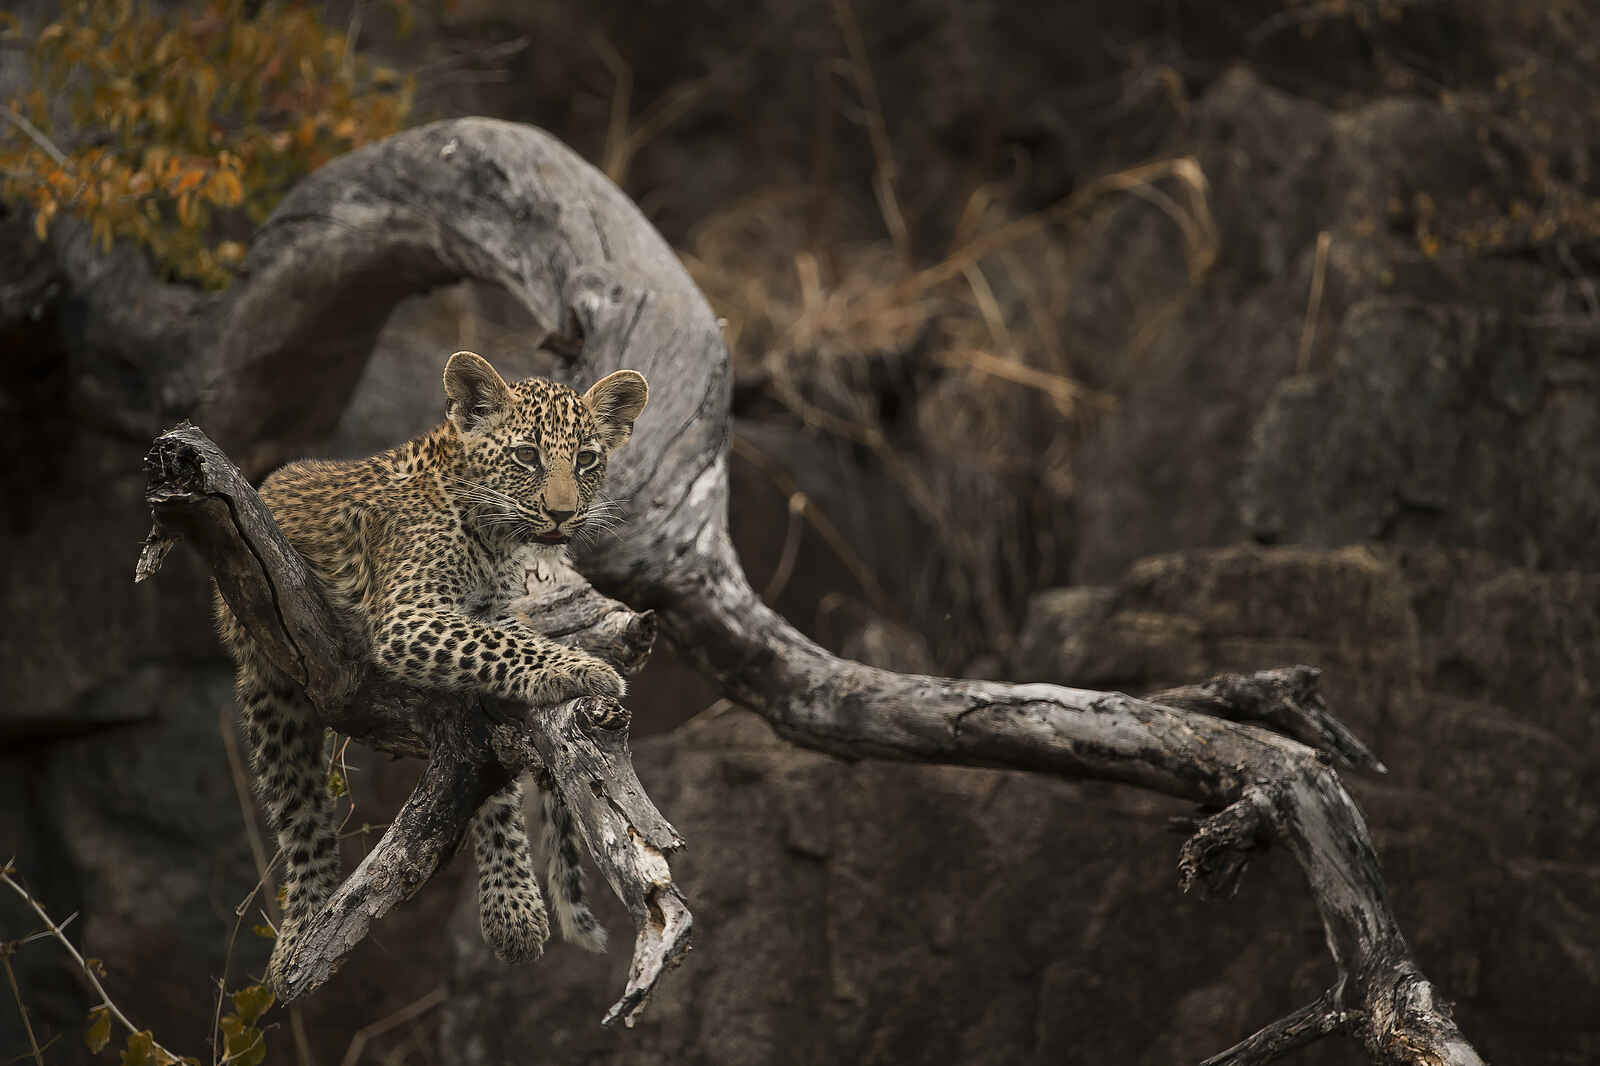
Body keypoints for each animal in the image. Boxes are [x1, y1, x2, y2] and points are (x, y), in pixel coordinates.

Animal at [215, 349, 649, 990]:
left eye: (588, 460)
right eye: (526, 456)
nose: (562, 514)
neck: (493, 536)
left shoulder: (489, 614)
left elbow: (503, 661)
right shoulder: (409, 616)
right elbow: (499, 646)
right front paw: (585, 668)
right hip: (270, 686)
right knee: (300, 816)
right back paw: (303, 930)